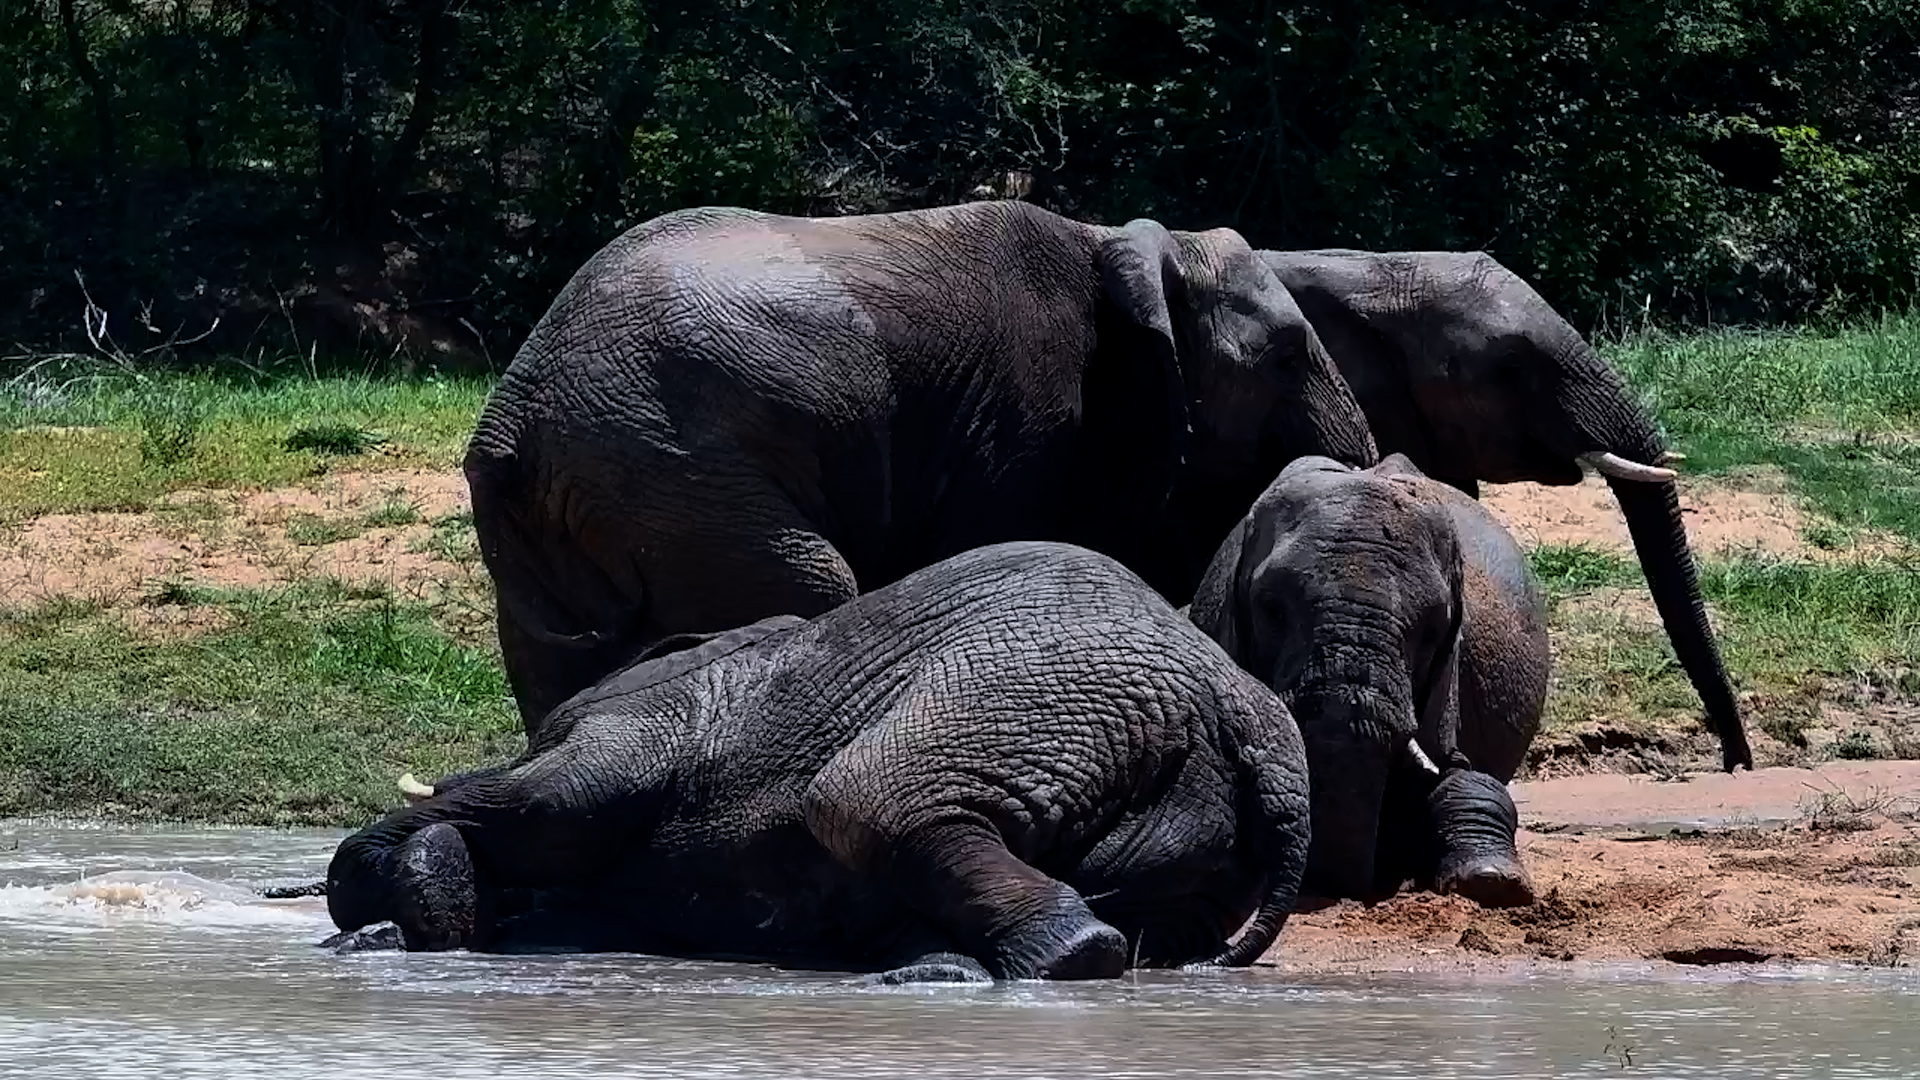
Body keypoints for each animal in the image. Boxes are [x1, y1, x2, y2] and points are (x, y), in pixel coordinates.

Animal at [323, 541, 1313, 983]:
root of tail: (1249, 715)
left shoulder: (648, 725)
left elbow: (546, 800)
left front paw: (385, 885)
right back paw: (933, 969)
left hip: (1036, 689)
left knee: (866, 800)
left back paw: (1044, 961)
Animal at [466, 200, 1378, 734]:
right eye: (1288, 353)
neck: (1123, 244)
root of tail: (518, 416)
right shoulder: (1027, 417)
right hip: (674, 473)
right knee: (807, 585)